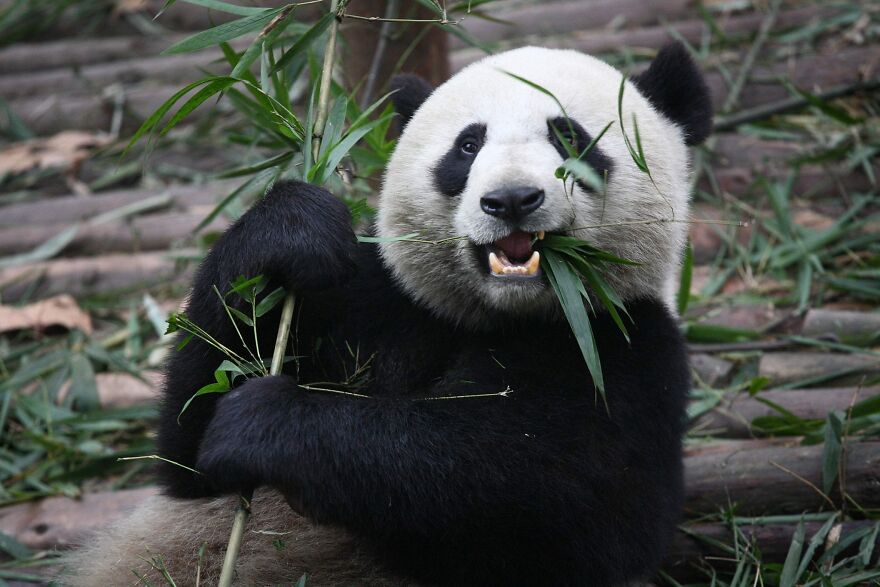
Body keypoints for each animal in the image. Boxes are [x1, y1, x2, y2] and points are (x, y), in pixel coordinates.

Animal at [65, 42, 711, 586]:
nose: (510, 201)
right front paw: (292, 230)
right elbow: (188, 454)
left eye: (571, 138)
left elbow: (526, 488)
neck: (498, 316)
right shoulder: (377, 303)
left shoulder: (624, 352)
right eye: (468, 146)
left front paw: (264, 421)